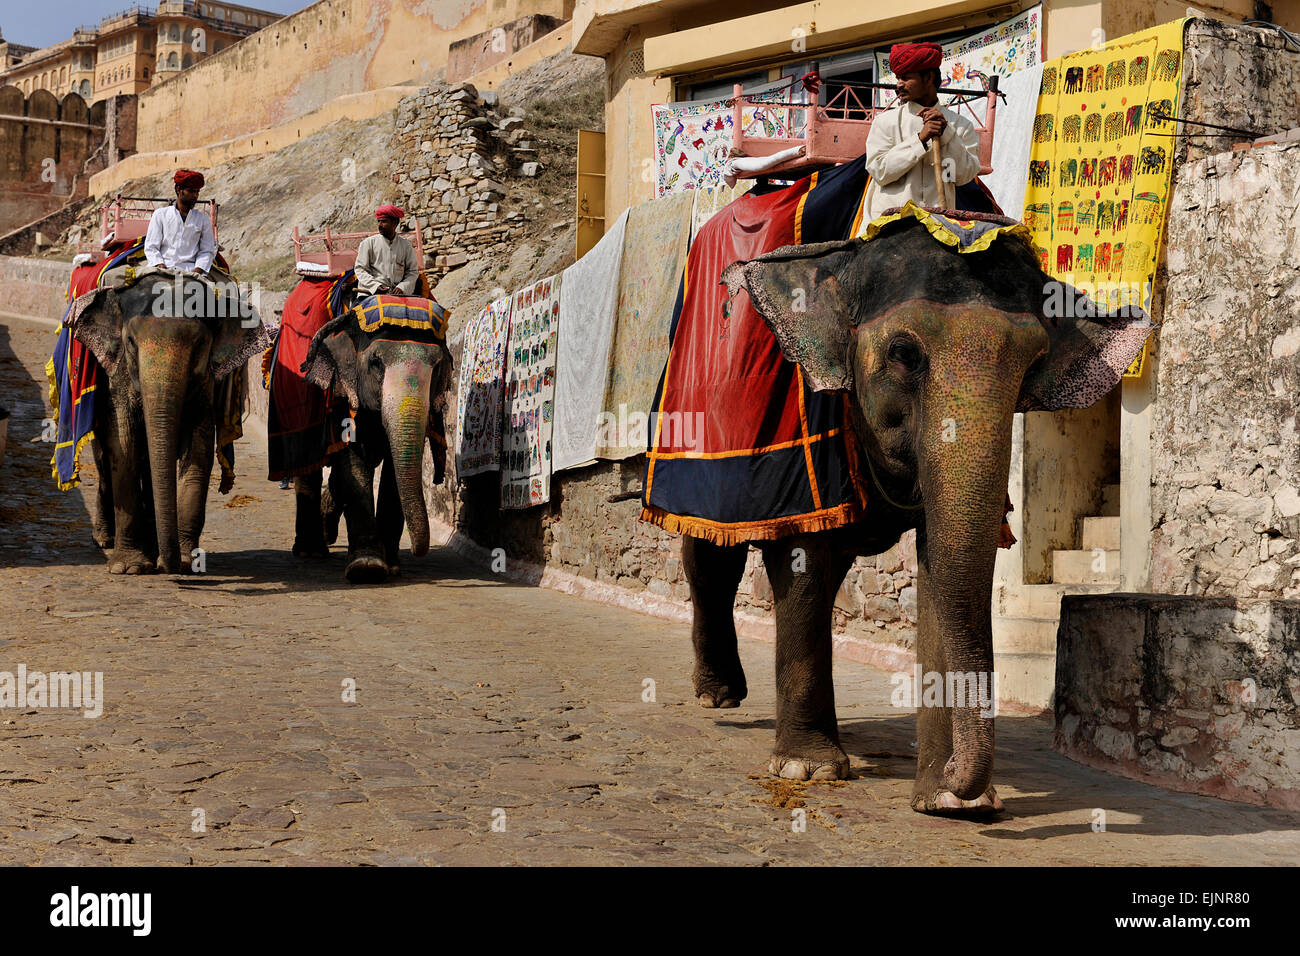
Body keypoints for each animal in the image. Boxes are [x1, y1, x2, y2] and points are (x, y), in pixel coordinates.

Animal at [71, 269, 269, 572]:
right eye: (131, 343)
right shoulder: (117, 378)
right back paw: (106, 540)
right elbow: (124, 447)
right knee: (105, 459)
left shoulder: (205, 384)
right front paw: (130, 567)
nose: (168, 565)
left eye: (199, 345)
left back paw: (154, 546)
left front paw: (187, 561)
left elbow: (199, 452)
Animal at [299, 310, 452, 587]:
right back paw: (312, 549)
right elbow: (354, 463)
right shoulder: (344, 394)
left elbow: (394, 471)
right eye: (376, 363)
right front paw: (366, 568)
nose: (418, 551)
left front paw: (391, 566)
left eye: (437, 367)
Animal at [681, 214, 1149, 816]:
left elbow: (938, 570)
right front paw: (809, 770)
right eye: (904, 353)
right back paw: (719, 695)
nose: (956, 775)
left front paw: (949, 802)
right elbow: (802, 562)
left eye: (1032, 367)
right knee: (709, 558)